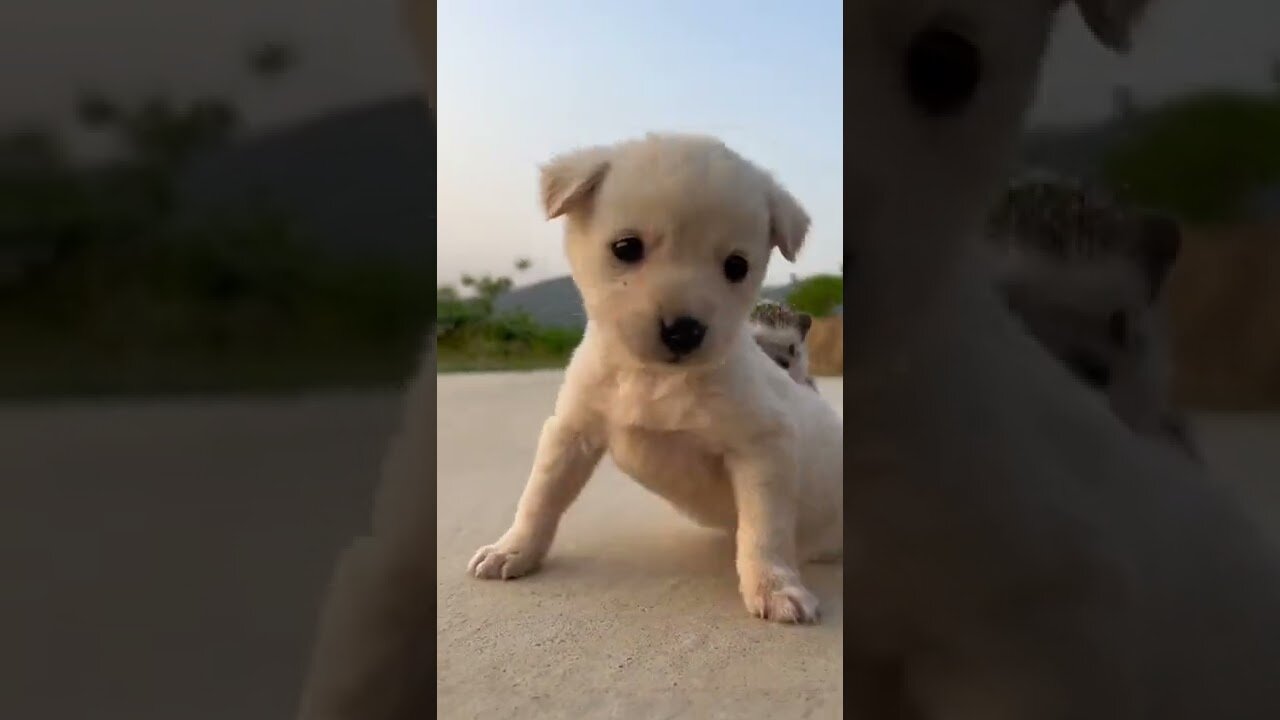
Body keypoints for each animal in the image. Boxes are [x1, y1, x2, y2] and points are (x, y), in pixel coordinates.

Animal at [465, 133, 844, 622]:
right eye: (626, 247)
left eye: (737, 266)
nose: (684, 330)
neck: (654, 379)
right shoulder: (571, 432)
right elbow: (540, 496)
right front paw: (513, 549)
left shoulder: (765, 447)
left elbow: (765, 530)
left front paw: (774, 585)